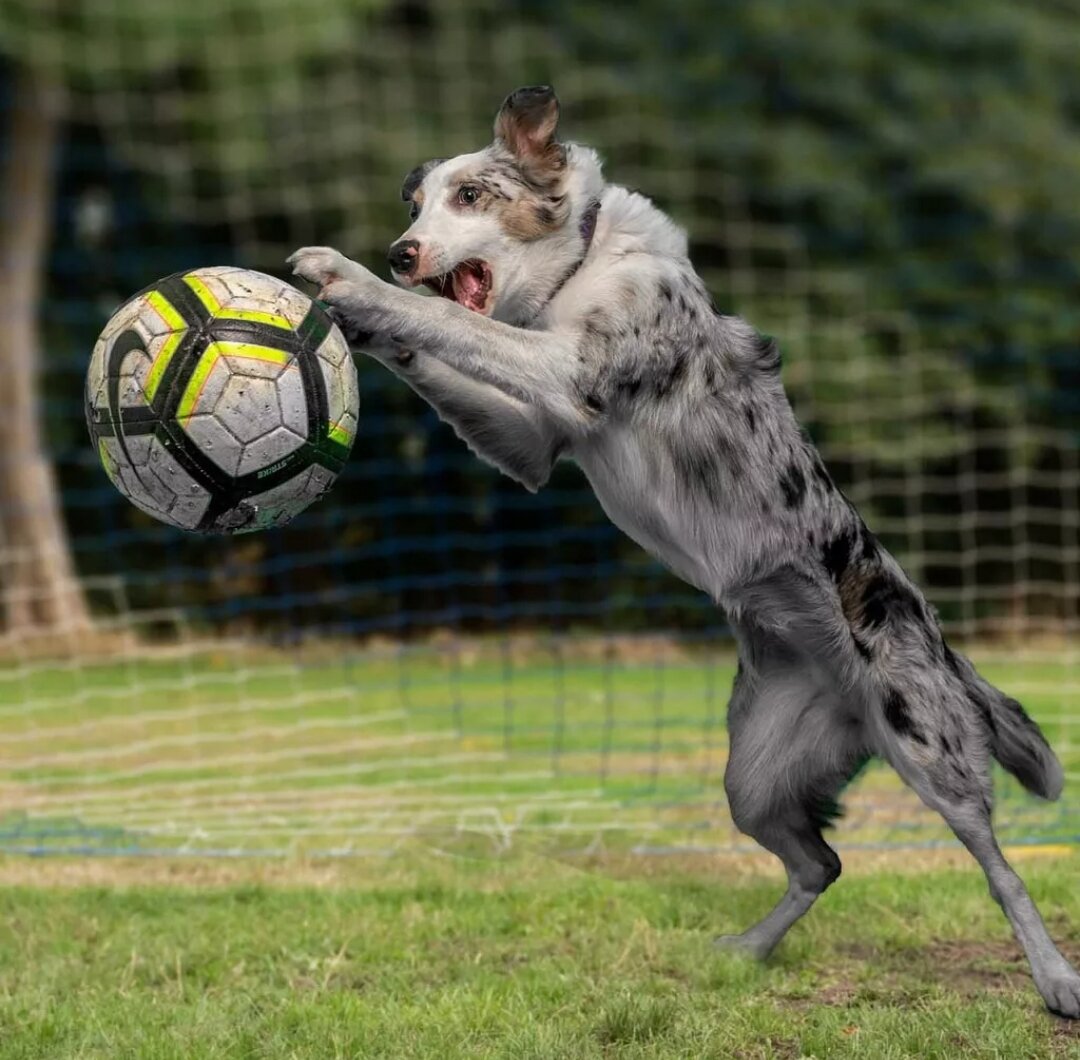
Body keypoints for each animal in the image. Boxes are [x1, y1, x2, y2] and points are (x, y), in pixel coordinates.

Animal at [287, 84, 1080, 1015]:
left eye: (471, 196)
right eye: (414, 205)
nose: (400, 250)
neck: (580, 268)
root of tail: (942, 646)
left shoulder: (566, 370)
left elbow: (443, 313)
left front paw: (349, 278)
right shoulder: (535, 444)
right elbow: (443, 346)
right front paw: (355, 318)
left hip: (928, 748)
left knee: (1000, 869)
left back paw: (1055, 977)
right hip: (755, 777)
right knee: (821, 862)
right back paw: (747, 951)